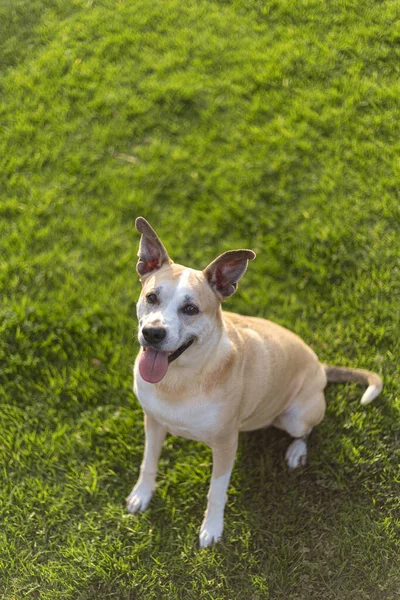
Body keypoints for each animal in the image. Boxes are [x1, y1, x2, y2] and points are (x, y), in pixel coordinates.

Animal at [126, 217, 382, 548]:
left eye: (191, 309)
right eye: (152, 297)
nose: (153, 334)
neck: (181, 378)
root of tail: (320, 365)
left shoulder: (224, 445)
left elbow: (216, 492)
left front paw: (212, 528)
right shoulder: (153, 421)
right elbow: (149, 462)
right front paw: (141, 495)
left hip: (296, 416)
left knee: (306, 431)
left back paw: (296, 452)